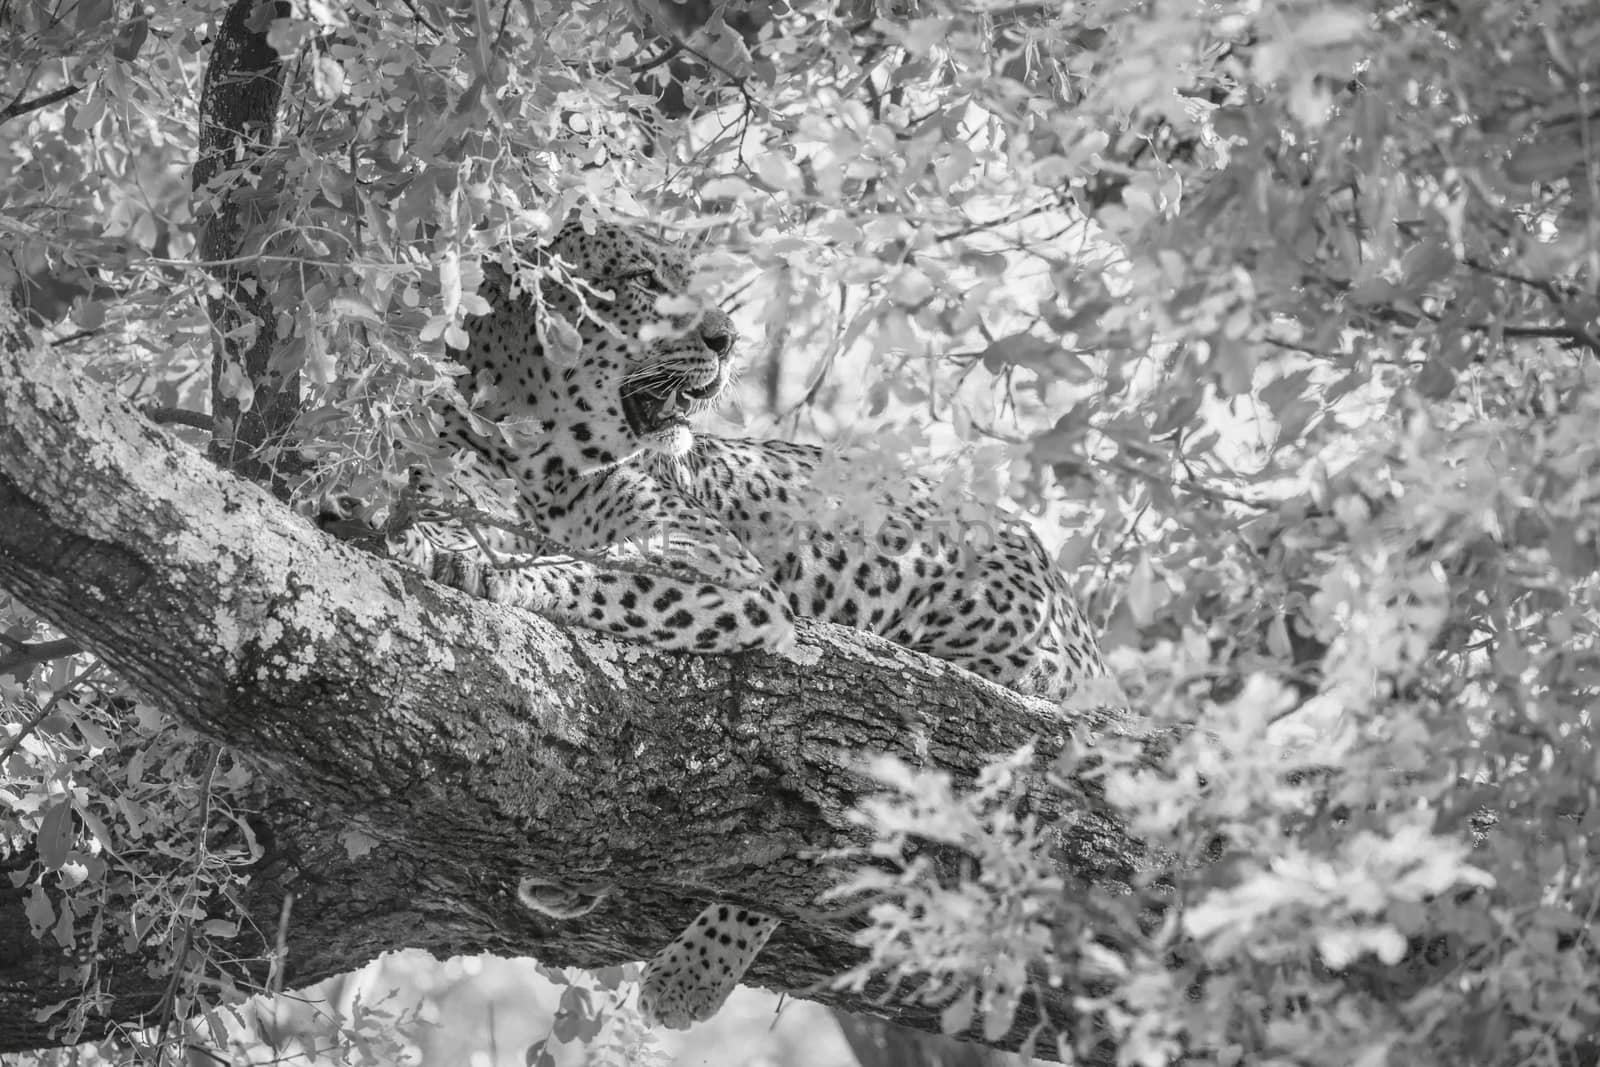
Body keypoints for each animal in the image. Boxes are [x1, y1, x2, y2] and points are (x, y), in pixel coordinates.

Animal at [369, 219, 1120, 1036]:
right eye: (642, 279)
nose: (727, 339)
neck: (536, 452)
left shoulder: (730, 575)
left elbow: (590, 572)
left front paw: (480, 568)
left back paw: (687, 975)